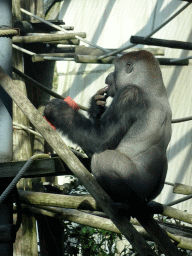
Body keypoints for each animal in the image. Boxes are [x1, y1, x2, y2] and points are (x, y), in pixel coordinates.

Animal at [44, 50, 172, 216]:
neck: (152, 86)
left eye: (115, 69)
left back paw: (124, 202)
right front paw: (96, 106)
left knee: (102, 158)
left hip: (139, 192)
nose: (108, 76)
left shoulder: (129, 94)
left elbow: (99, 139)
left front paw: (59, 111)